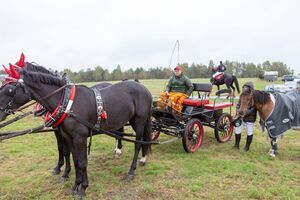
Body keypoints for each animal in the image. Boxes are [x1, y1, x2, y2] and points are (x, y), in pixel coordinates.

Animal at [7, 63, 152, 197]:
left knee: (138, 143)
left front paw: (81, 187)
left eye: (9, 89)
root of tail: (144, 88)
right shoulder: (66, 135)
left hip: (139, 121)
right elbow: (72, 157)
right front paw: (72, 181)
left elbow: (81, 161)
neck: (66, 103)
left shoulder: (79, 137)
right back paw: (134, 156)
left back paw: (132, 170)